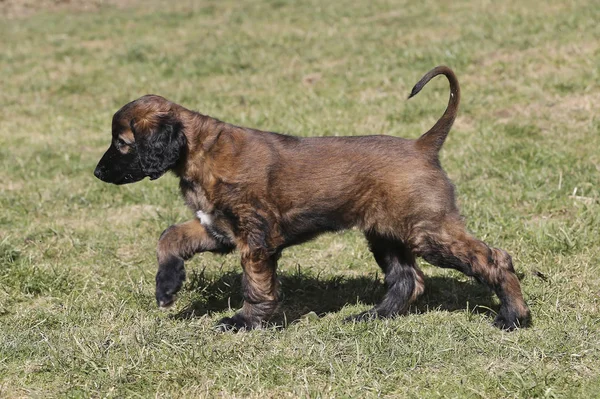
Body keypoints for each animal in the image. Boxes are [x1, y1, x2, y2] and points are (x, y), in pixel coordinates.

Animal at [94, 66, 528, 332]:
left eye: (122, 143)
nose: (97, 173)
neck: (200, 150)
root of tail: (423, 146)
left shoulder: (254, 236)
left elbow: (255, 284)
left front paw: (245, 322)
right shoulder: (217, 227)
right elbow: (168, 236)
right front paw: (166, 287)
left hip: (427, 230)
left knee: (495, 259)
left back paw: (515, 317)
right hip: (386, 233)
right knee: (409, 279)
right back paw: (372, 316)